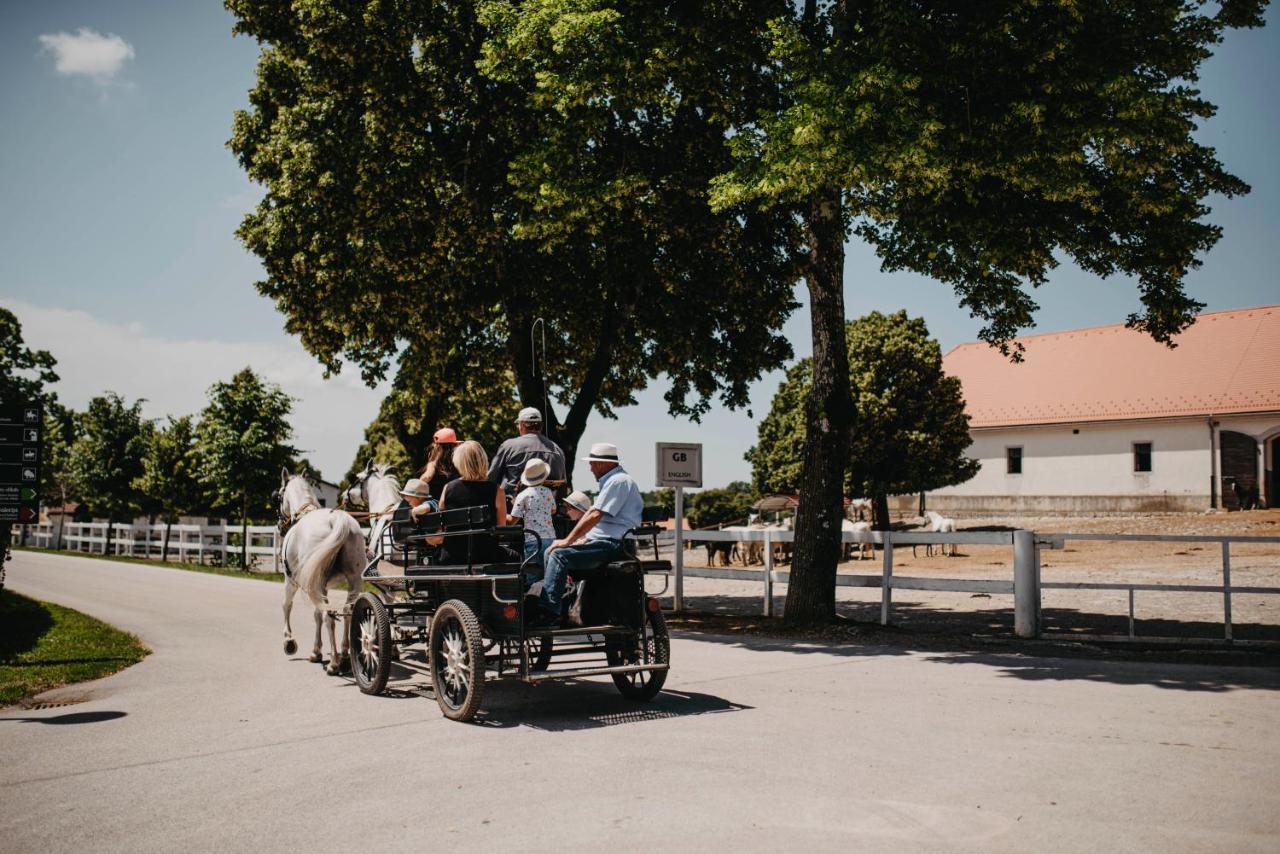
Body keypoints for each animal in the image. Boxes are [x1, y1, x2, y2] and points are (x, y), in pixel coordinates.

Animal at [275, 468, 366, 676]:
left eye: (279, 496)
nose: (280, 525)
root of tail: (337, 520)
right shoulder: (318, 585)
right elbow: (316, 614)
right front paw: (316, 651)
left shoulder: (291, 581)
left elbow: (287, 605)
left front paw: (289, 641)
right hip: (354, 580)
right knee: (347, 612)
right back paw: (345, 655)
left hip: (315, 583)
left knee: (328, 616)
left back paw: (334, 663)